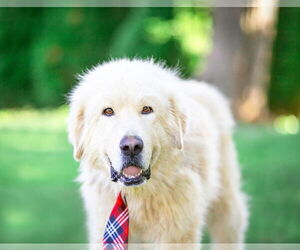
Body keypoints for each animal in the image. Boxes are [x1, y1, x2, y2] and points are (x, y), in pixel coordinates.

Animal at [68, 59, 248, 250]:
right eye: (108, 111)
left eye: (147, 109)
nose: (131, 147)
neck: (138, 195)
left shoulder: (175, 236)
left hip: (225, 202)